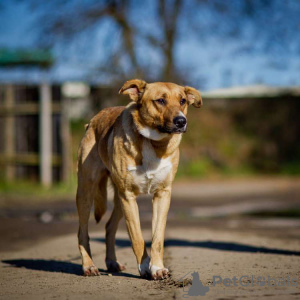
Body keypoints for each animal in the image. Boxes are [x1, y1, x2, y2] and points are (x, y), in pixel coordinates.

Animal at [76, 79, 203, 278]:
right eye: (160, 100)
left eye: (182, 101)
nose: (181, 121)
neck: (155, 142)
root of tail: (94, 119)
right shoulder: (128, 196)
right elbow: (137, 238)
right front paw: (144, 267)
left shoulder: (162, 195)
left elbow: (157, 238)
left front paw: (157, 268)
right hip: (87, 192)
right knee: (82, 232)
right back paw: (88, 266)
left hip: (119, 200)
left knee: (109, 227)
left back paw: (112, 262)